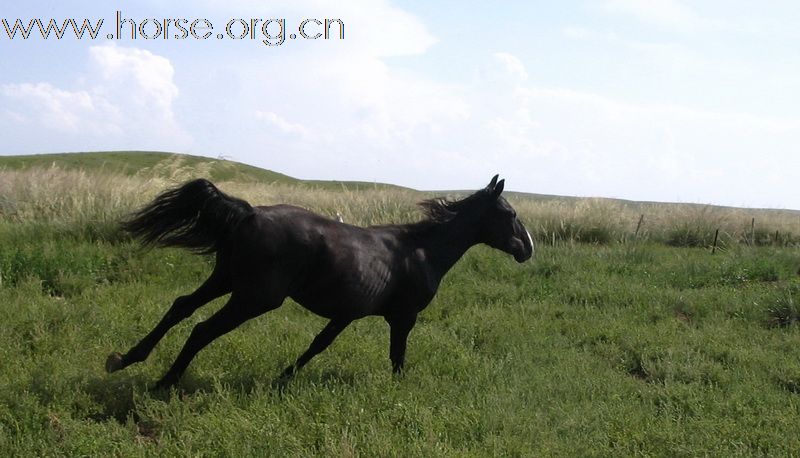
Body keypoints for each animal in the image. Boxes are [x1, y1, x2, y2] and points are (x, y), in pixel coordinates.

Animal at [104, 174, 532, 386]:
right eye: (509, 214)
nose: (527, 249)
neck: (421, 251)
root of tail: (250, 213)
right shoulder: (403, 318)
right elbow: (397, 357)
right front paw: (400, 391)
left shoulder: (346, 314)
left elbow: (317, 346)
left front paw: (282, 379)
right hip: (254, 297)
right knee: (201, 329)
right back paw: (164, 383)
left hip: (225, 279)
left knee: (181, 307)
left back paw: (124, 359)